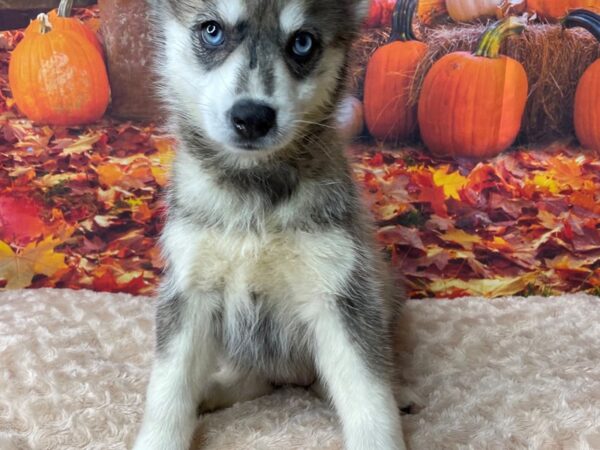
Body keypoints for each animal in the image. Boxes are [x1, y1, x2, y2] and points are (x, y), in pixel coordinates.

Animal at [135, 0, 408, 450]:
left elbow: (369, 396)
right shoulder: (190, 288)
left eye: (302, 42)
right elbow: (168, 388)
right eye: (212, 31)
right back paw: (213, 390)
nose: (252, 117)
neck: (254, 190)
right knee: (254, 376)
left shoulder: (339, 291)